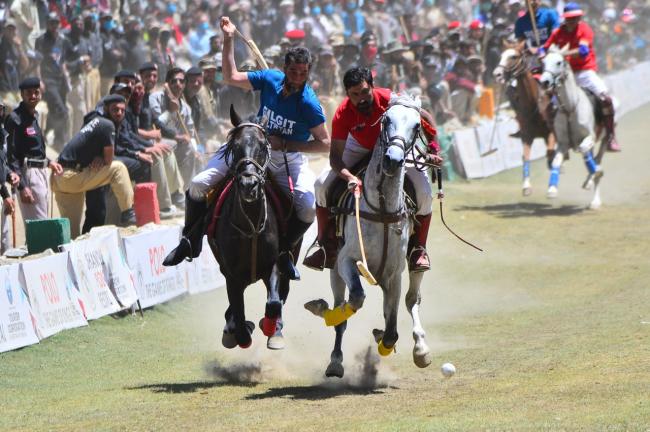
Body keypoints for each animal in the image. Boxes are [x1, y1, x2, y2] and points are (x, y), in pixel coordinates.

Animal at [302, 94, 430, 378]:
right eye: (386, 120)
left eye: (417, 125)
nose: (393, 160)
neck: (382, 209)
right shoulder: (347, 261)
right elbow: (356, 299)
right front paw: (325, 312)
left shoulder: (394, 274)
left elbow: (392, 329)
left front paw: (386, 341)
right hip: (335, 269)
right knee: (343, 305)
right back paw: (335, 358)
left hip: (411, 267)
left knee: (411, 299)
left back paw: (420, 348)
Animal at [536, 44, 604, 210]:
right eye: (543, 63)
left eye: (559, 62)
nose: (544, 82)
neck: (570, 108)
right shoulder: (563, 143)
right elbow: (555, 161)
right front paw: (552, 190)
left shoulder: (590, 136)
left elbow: (584, 149)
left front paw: (592, 177)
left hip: (605, 136)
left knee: (597, 157)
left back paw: (594, 196)